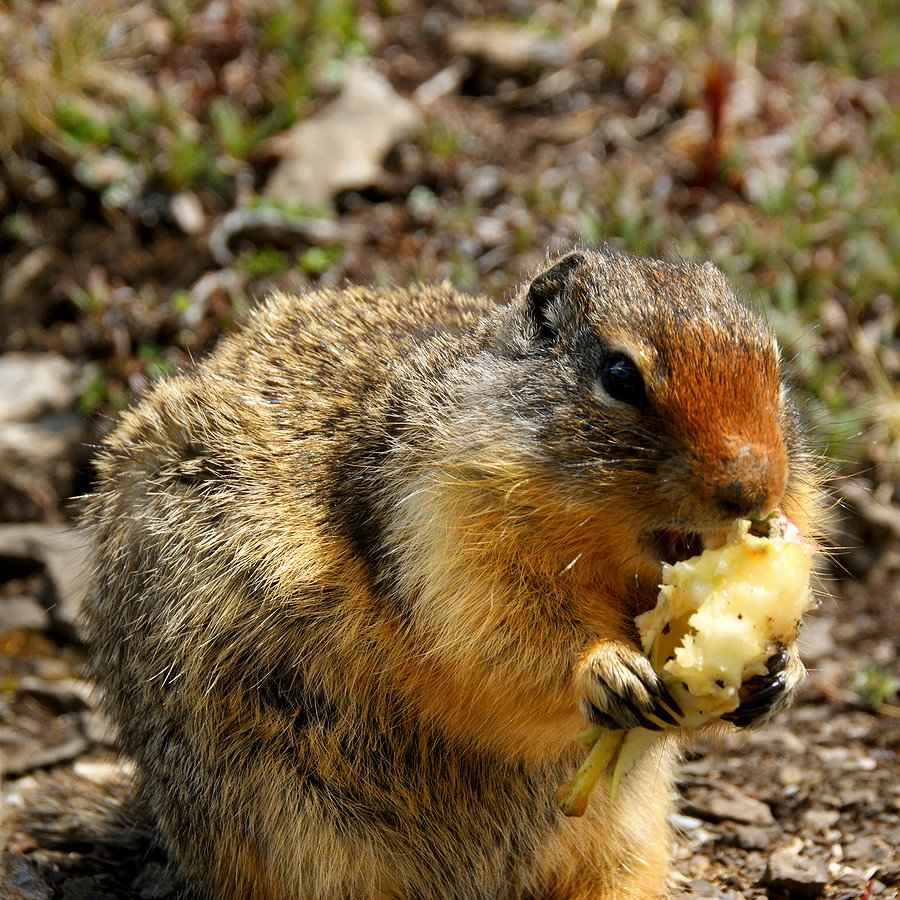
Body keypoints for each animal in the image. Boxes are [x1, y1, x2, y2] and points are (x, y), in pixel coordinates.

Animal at [84, 250, 824, 900]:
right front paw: (610, 670)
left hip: (626, 835)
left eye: (774, 366)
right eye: (619, 374)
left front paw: (781, 672)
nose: (754, 488)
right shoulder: (450, 532)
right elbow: (500, 638)